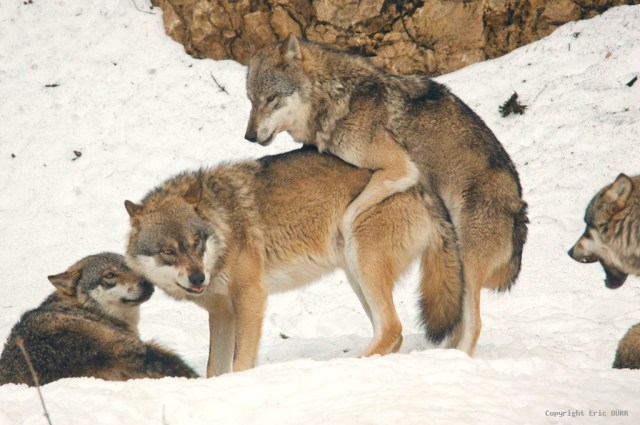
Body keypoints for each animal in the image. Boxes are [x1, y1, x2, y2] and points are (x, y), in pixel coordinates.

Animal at [125, 148, 465, 376]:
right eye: (169, 252)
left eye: (196, 243)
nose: (198, 279)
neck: (223, 222)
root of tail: (425, 188)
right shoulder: (221, 313)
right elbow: (214, 369)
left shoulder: (250, 296)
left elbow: (240, 361)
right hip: (357, 277)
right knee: (391, 332)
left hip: (363, 265)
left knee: (393, 327)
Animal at [244, 35, 528, 354]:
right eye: (252, 100)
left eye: (271, 99)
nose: (249, 136)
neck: (336, 98)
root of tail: (519, 208)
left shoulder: (402, 168)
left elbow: (352, 212)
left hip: (468, 260)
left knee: (474, 323)